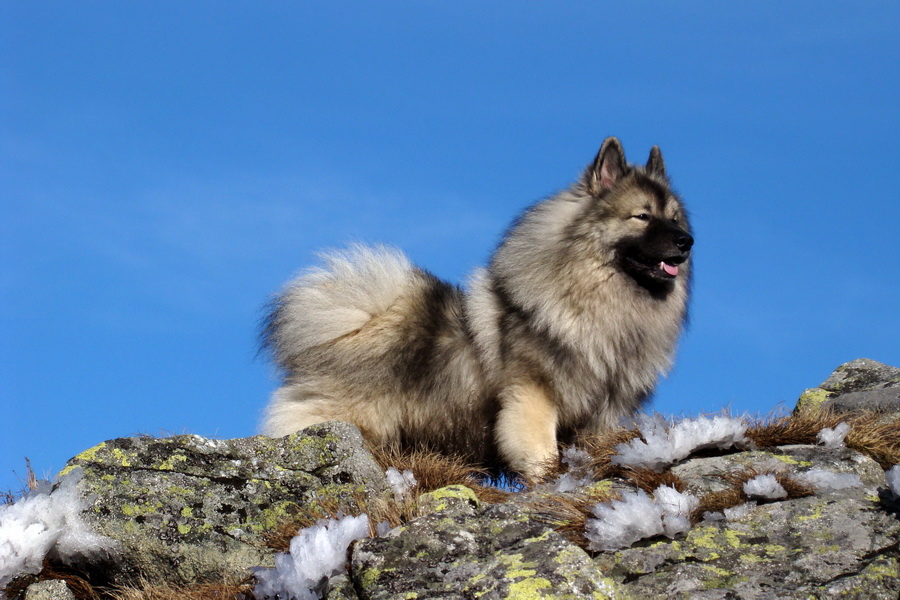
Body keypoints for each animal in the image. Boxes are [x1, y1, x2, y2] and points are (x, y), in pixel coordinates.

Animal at [256, 138, 692, 480]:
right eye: (642, 216)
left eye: (674, 218)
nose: (686, 241)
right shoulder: (532, 399)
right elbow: (541, 454)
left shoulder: (600, 417)